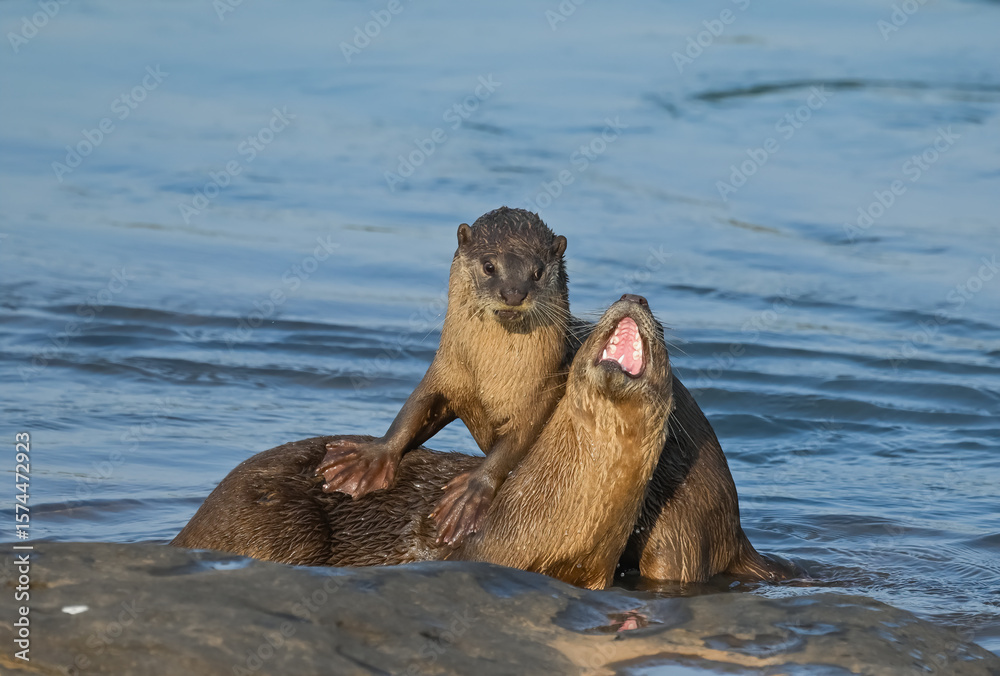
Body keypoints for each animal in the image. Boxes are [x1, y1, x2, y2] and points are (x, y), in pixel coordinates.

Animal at [316, 207, 574, 546]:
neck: (491, 378)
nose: (514, 294)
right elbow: (413, 409)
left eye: (538, 272)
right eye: (489, 266)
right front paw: (370, 458)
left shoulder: (544, 390)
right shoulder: (446, 371)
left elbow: (517, 441)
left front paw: (471, 494)